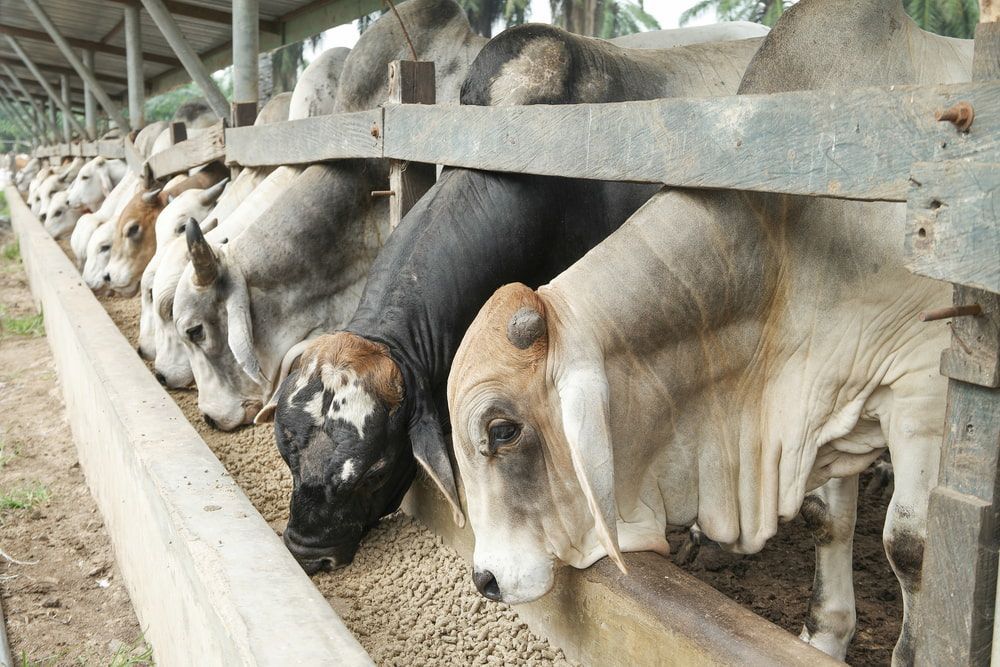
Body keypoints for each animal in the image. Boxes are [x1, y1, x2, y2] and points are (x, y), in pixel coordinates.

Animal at [445, 2, 971, 664]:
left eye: (502, 430)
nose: (484, 579)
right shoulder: (823, 396)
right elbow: (825, 518)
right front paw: (824, 636)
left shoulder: (922, 392)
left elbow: (911, 546)